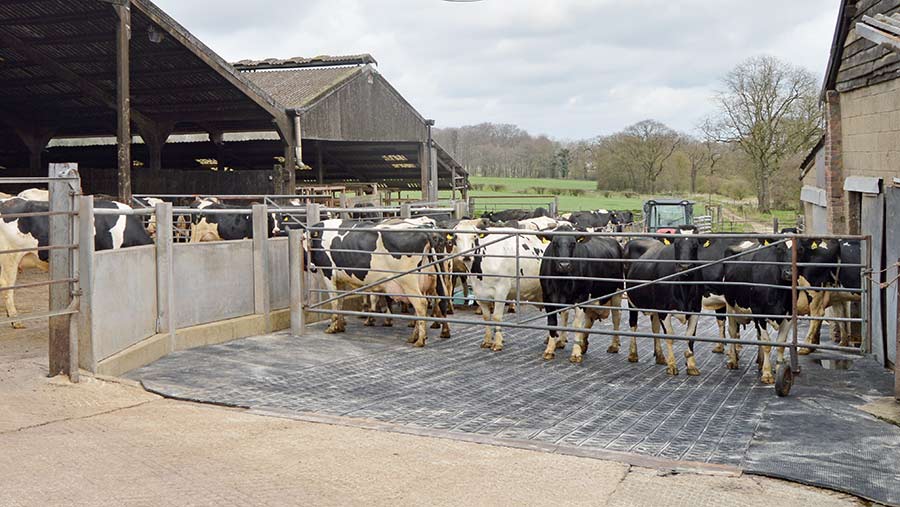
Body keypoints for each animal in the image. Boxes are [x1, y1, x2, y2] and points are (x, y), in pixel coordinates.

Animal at [536, 224, 624, 364]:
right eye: (554, 243)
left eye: (573, 243)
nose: (564, 265)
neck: (561, 282)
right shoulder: (547, 297)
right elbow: (552, 323)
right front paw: (549, 350)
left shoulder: (581, 297)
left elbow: (577, 325)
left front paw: (576, 353)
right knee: (587, 318)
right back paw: (578, 343)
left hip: (617, 290)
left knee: (616, 316)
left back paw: (614, 345)